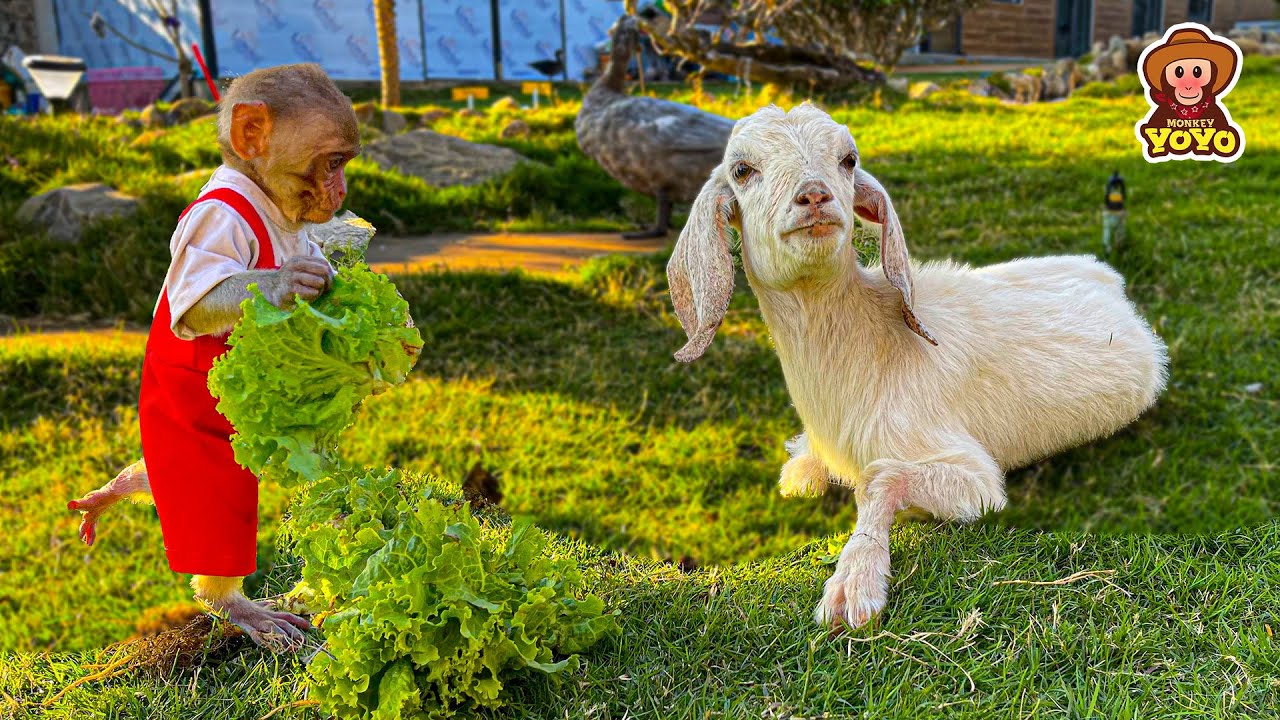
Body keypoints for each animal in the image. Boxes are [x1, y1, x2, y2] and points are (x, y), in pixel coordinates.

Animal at [67, 63, 361, 651]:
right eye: (332, 162)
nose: (341, 190)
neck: (267, 204)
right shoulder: (216, 223)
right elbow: (205, 298)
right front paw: (286, 283)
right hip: (178, 425)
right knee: (208, 499)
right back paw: (232, 603)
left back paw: (121, 488)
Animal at [666, 103, 1168, 629]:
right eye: (742, 170)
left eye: (848, 159)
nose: (815, 196)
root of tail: (1109, 278)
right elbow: (798, 477)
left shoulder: (970, 473)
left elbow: (880, 477)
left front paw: (853, 585)